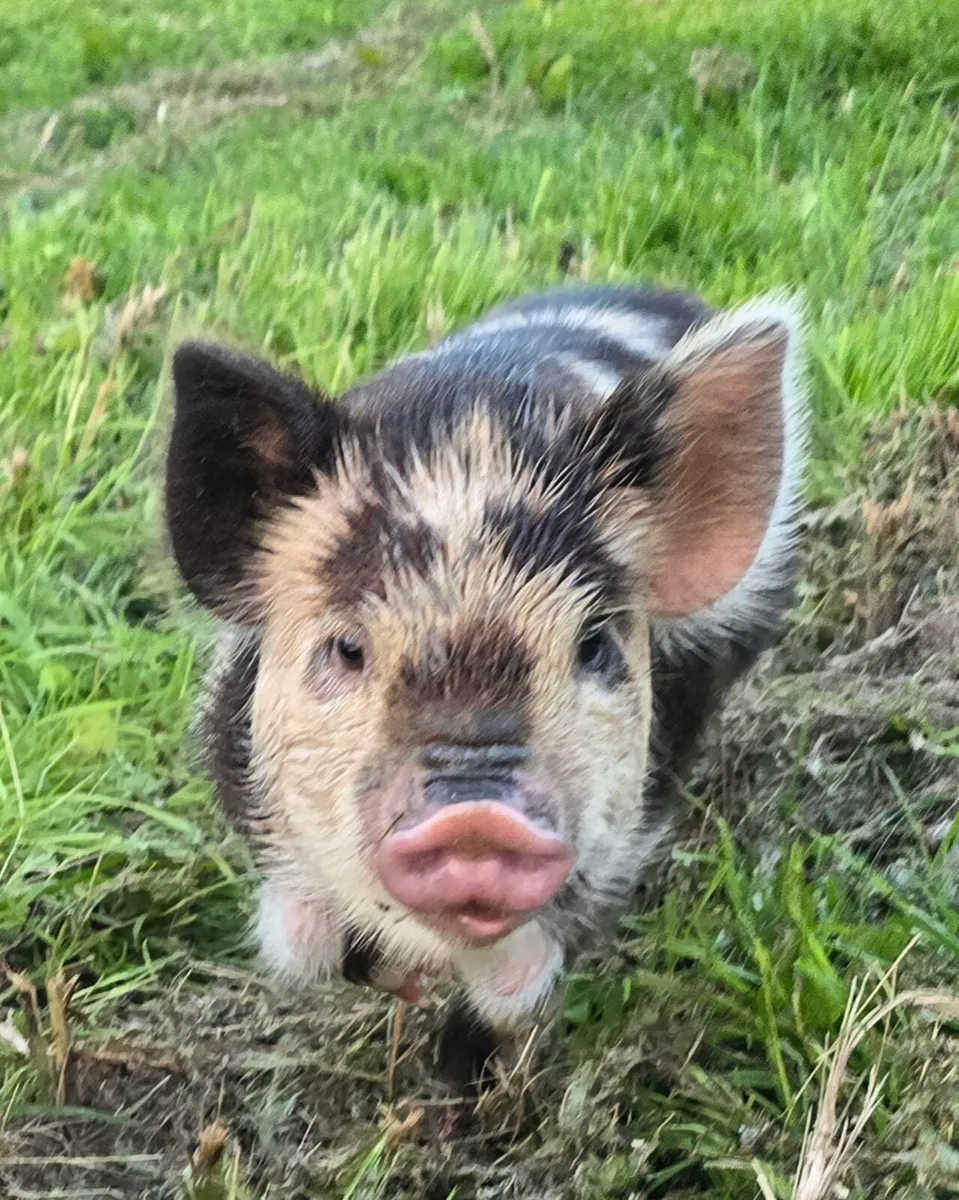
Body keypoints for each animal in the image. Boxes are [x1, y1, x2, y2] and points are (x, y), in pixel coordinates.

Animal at [165, 284, 807, 1094]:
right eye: (347, 648)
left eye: (593, 646)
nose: (476, 816)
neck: (470, 440)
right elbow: (310, 944)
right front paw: (398, 987)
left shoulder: (626, 835)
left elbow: (520, 979)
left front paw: (457, 1080)